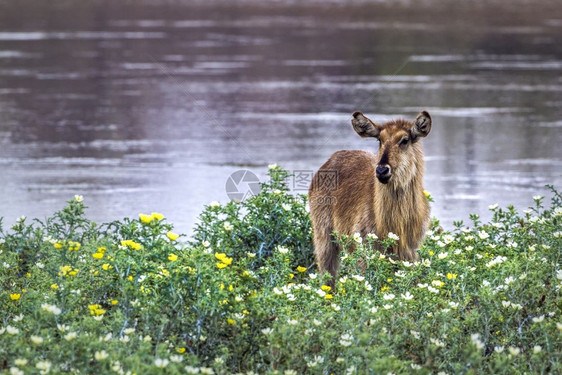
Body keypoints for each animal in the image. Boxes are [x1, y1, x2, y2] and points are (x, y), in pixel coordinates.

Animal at [308, 111, 430, 282]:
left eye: (404, 140)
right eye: (380, 140)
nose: (381, 170)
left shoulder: (410, 252)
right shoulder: (366, 247)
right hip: (324, 237)